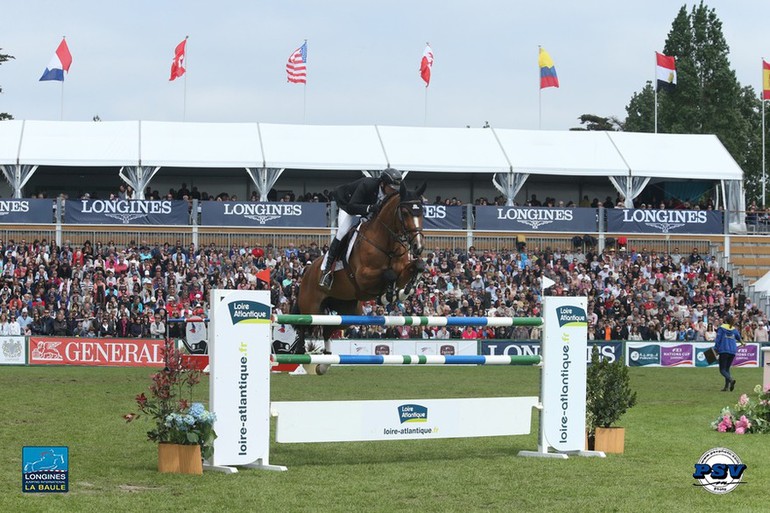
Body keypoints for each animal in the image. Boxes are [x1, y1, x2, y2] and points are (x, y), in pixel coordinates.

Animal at [292, 181, 426, 368]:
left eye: (422, 211)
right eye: (405, 212)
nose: (418, 247)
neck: (386, 243)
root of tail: (308, 271)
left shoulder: (402, 271)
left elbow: (417, 266)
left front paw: (405, 291)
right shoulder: (363, 278)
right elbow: (389, 274)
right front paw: (388, 296)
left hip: (350, 311)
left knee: (327, 329)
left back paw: (325, 360)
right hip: (311, 306)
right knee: (303, 324)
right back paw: (300, 351)